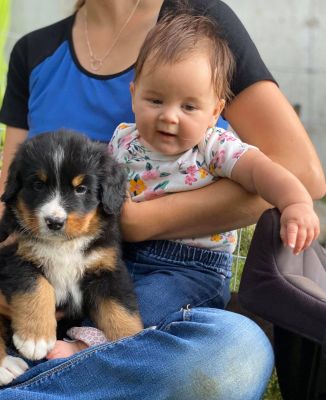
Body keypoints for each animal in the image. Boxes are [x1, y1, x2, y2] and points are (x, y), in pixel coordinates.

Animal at [0, 130, 144, 386]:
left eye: (81, 189)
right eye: (38, 185)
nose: (54, 222)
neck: (64, 245)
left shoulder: (107, 269)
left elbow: (121, 311)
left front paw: (134, 343)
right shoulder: (14, 256)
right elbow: (38, 287)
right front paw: (35, 338)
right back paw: (6, 366)